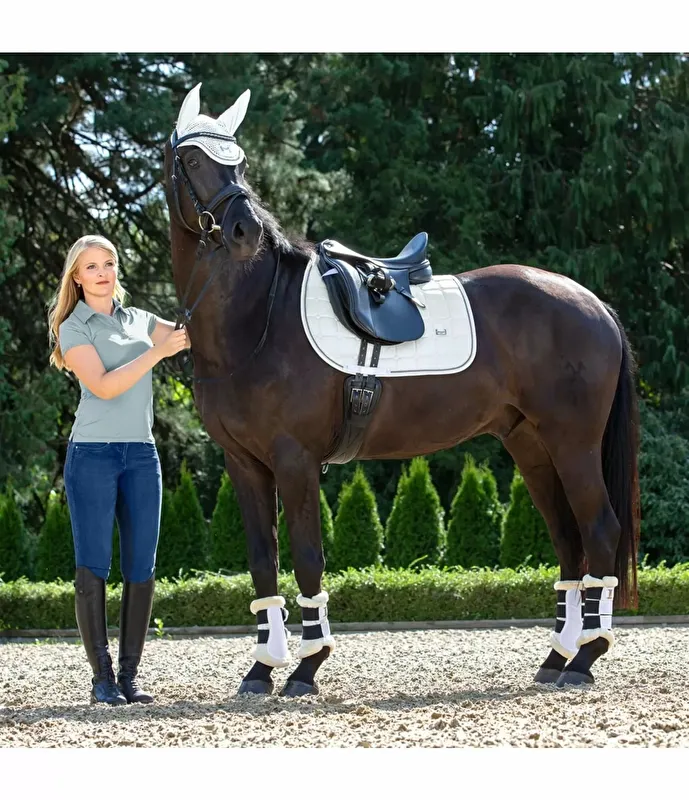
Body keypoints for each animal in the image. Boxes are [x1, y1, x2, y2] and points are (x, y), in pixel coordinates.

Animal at [163, 84, 639, 697]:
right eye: (195, 161)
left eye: (240, 164)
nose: (245, 231)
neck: (256, 318)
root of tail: (594, 304)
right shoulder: (244, 463)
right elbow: (263, 561)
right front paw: (261, 668)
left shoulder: (294, 460)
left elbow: (308, 558)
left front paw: (306, 668)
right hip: (532, 446)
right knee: (568, 540)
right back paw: (558, 656)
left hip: (572, 443)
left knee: (599, 529)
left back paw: (585, 656)